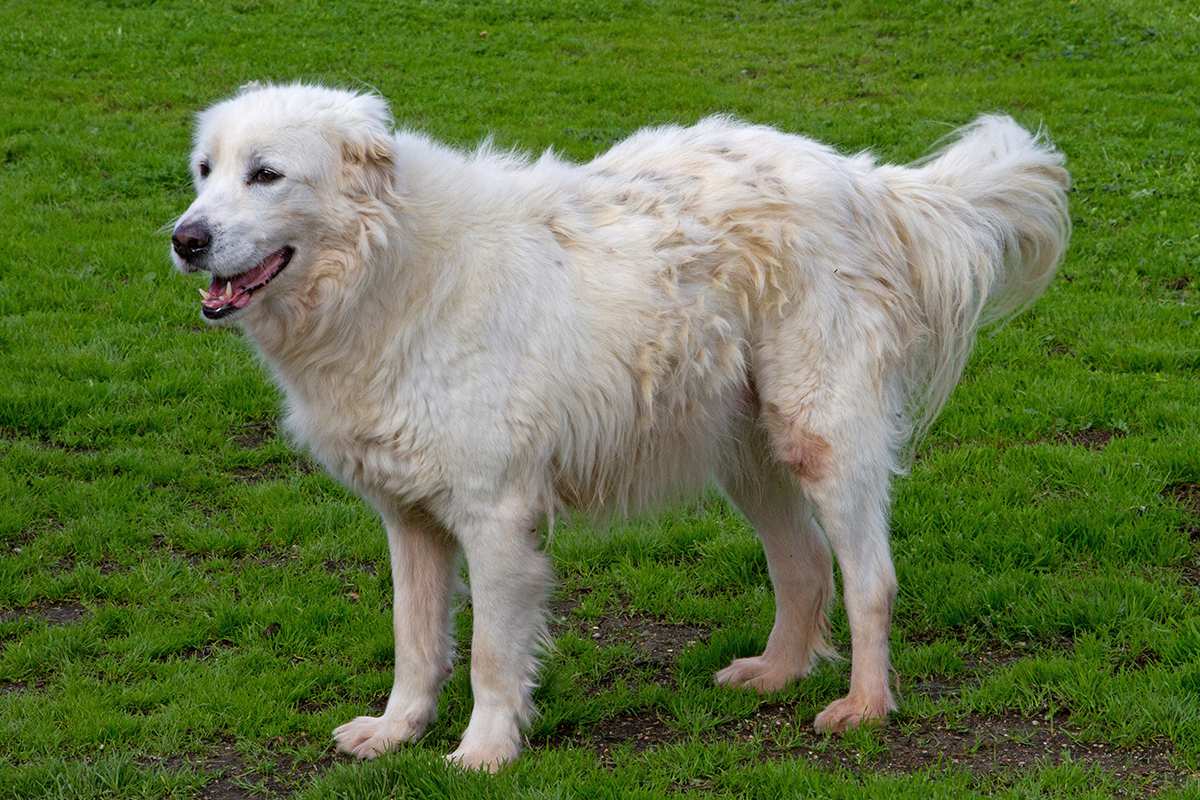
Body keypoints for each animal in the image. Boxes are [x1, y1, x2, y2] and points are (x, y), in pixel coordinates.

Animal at [169, 84, 1070, 772]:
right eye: (205, 172)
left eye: (267, 174)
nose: (185, 239)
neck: (388, 267)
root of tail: (862, 179)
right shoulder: (410, 519)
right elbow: (416, 640)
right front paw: (396, 732)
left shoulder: (497, 516)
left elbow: (491, 655)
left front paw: (483, 753)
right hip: (747, 454)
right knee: (805, 565)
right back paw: (777, 674)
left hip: (821, 435)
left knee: (870, 580)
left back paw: (865, 707)